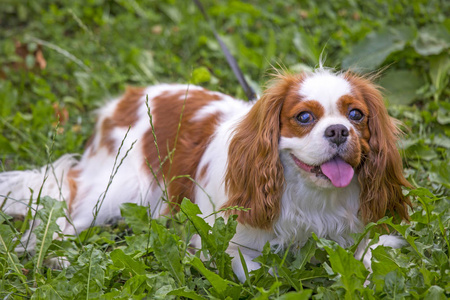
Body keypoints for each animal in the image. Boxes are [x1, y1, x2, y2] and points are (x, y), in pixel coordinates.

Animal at [0, 68, 412, 282]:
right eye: (304, 117)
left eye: (356, 115)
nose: (339, 131)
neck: (311, 196)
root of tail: (123, 100)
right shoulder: (228, 244)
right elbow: (262, 274)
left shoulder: (371, 232)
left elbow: (373, 258)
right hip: (115, 192)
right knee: (62, 217)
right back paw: (59, 260)